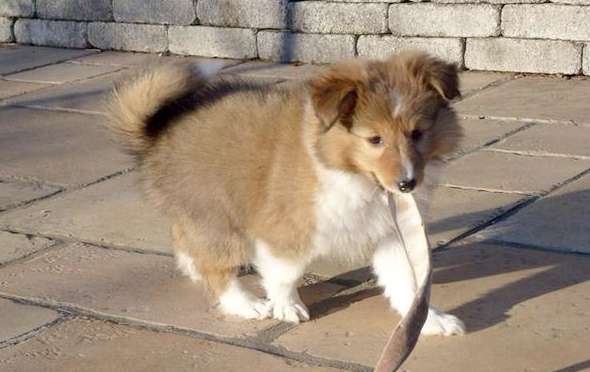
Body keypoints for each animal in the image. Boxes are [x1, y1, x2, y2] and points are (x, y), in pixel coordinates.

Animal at [106, 51, 468, 334]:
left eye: (417, 133)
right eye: (374, 139)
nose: (407, 184)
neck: (358, 177)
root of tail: (157, 132)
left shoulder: (391, 233)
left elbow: (407, 280)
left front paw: (429, 322)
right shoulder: (287, 230)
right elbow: (284, 273)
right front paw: (286, 306)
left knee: (188, 243)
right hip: (217, 215)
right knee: (216, 269)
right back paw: (247, 304)